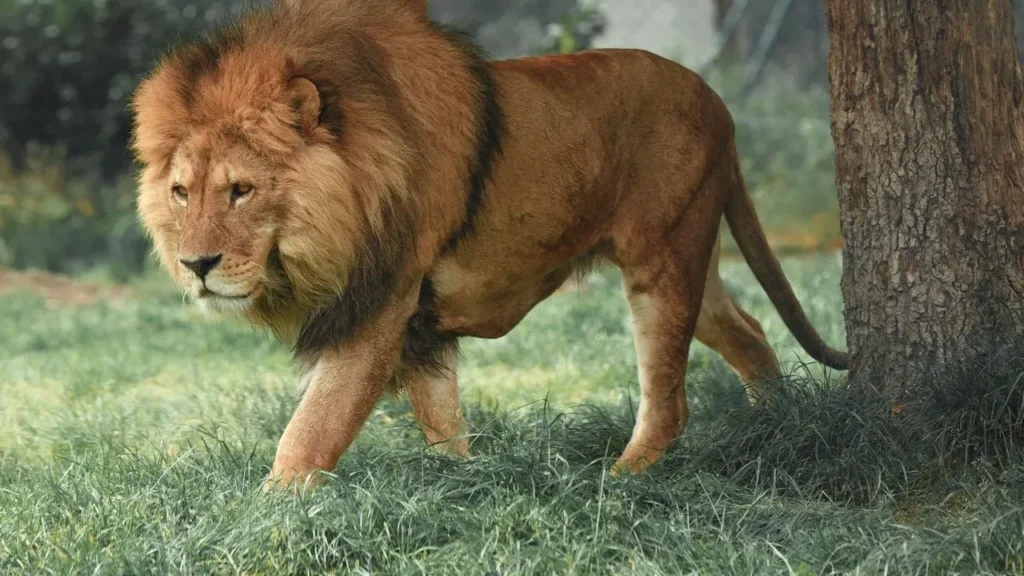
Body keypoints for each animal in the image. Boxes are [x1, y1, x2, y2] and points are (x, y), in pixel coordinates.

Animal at [130, 0, 848, 488]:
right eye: (180, 193)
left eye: (241, 191)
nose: (196, 266)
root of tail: (718, 103)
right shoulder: (417, 324)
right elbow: (441, 419)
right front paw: (462, 485)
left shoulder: (380, 306)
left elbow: (313, 428)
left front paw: (268, 513)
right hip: (689, 254)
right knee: (748, 329)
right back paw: (774, 426)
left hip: (662, 258)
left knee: (669, 398)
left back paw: (619, 481)